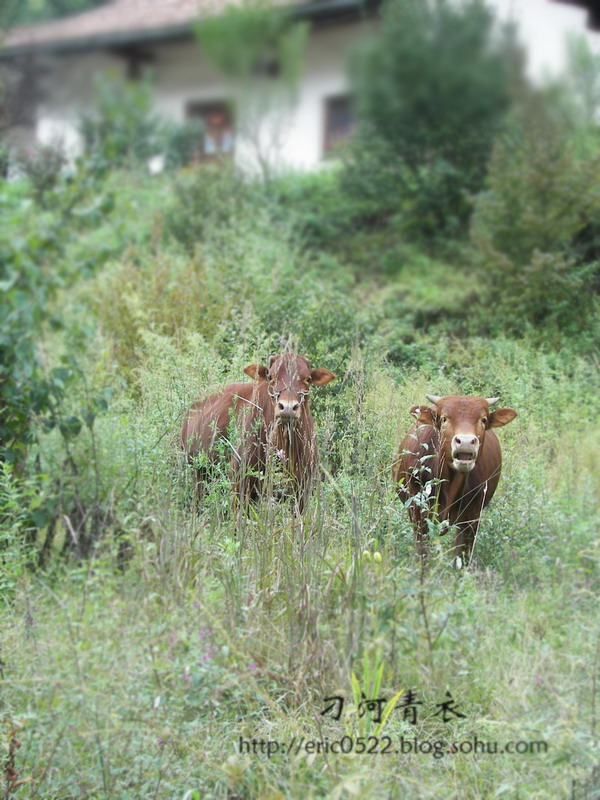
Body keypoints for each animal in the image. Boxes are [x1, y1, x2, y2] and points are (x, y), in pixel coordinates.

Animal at [394, 396, 516, 564]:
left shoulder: (471, 518)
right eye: (444, 418)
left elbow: (461, 558)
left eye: (483, 419)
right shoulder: (417, 510)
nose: (465, 442)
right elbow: (423, 553)